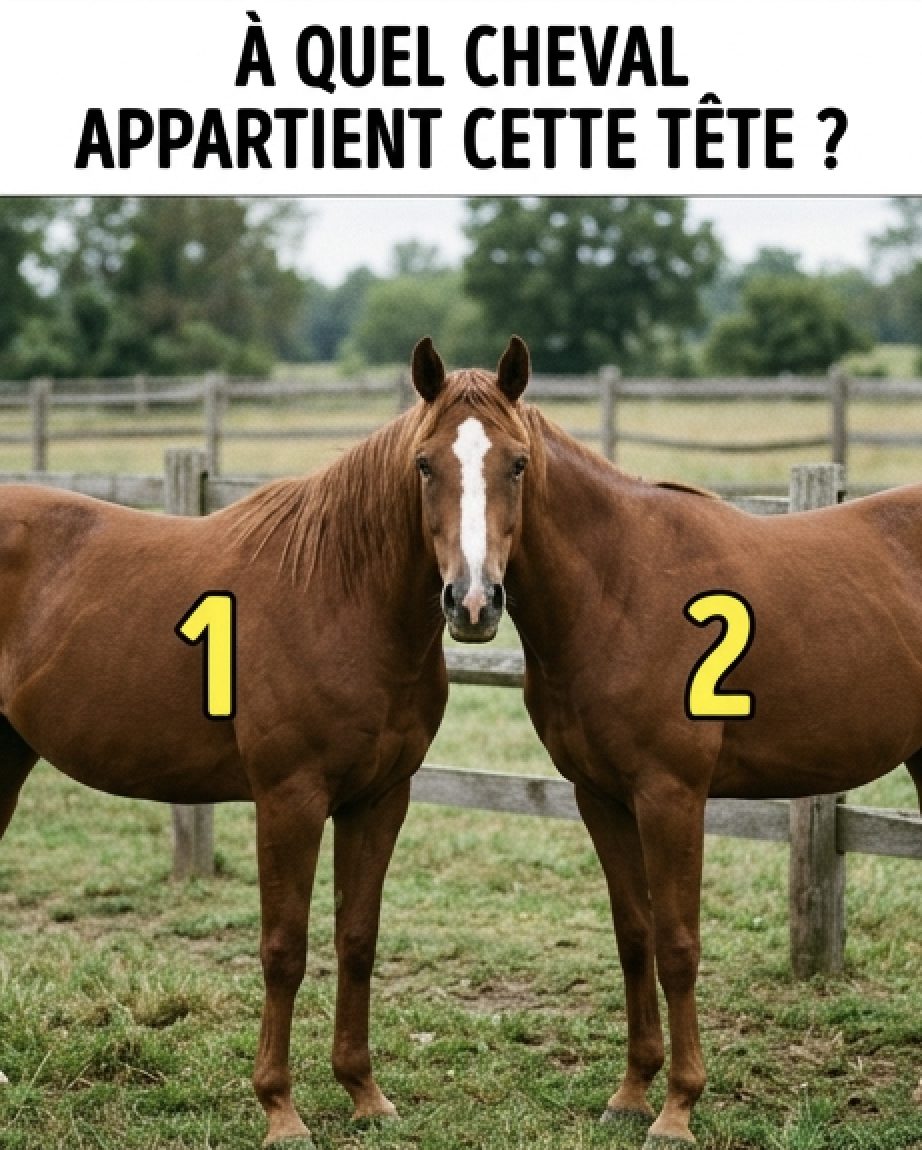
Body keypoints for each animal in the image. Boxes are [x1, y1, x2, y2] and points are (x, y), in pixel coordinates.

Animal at [0, 339, 521, 1147]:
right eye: (425, 464)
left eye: (519, 465)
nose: (472, 603)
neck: (339, 595)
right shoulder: (289, 801)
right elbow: (285, 949)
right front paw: (280, 1107)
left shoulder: (380, 800)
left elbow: (357, 940)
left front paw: (364, 1092)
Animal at [413, 335, 922, 1147]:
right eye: (426, 463)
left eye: (516, 463)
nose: (472, 602)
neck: (619, 588)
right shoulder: (601, 798)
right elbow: (635, 937)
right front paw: (631, 1092)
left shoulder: (671, 797)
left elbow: (678, 944)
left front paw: (679, 1107)